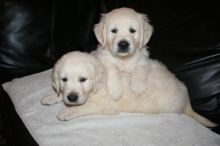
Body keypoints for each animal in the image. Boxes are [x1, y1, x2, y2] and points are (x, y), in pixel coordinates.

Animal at [41, 51, 217, 126]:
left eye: (83, 79)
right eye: (63, 80)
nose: (71, 98)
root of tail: (187, 100)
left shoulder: (107, 105)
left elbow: (86, 106)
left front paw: (68, 111)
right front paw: (52, 97)